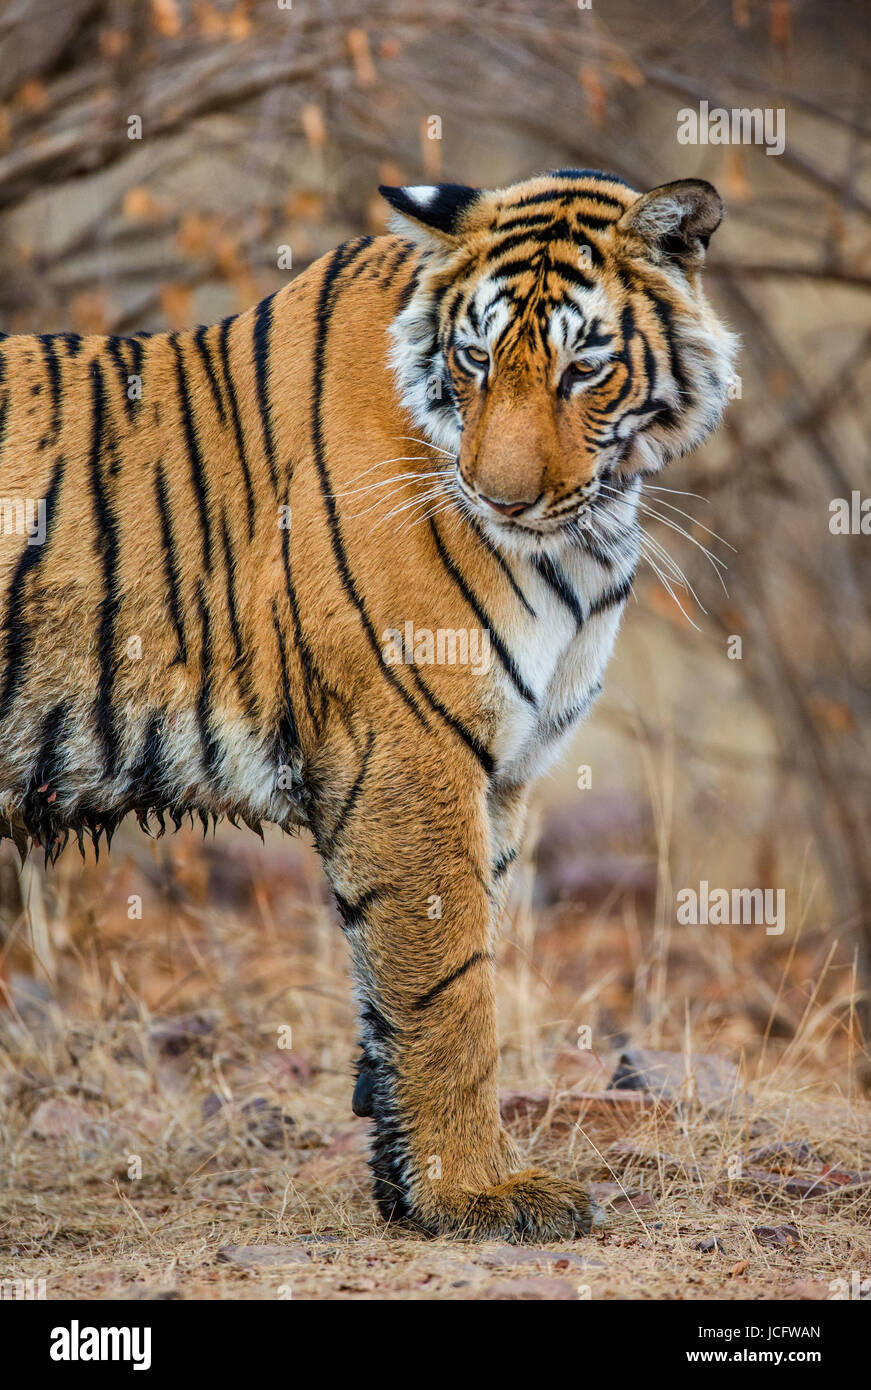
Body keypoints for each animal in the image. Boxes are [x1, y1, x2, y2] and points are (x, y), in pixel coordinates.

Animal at [0, 168, 733, 1245]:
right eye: (476, 359)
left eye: (583, 369)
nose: (498, 499)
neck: (586, 535)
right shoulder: (410, 746)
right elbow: (449, 988)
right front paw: (474, 1193)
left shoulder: (500, 771)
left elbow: (416, 984)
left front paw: (406, 1181)